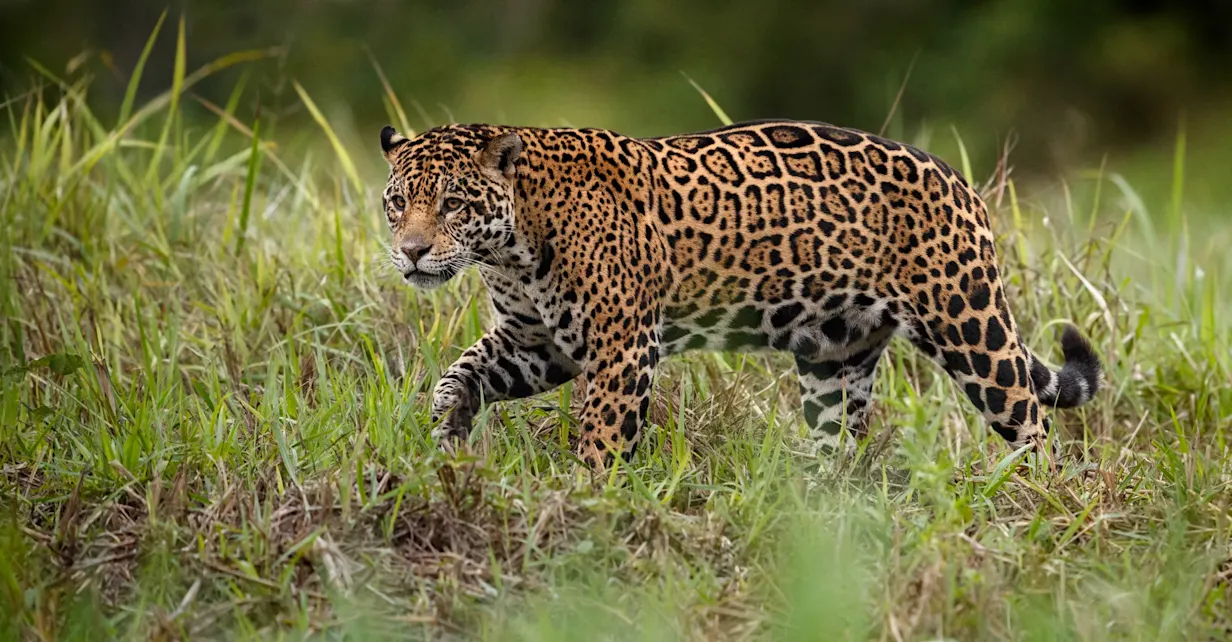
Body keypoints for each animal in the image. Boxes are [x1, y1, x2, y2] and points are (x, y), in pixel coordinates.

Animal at [377, 119, 1104, 471]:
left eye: (453, 203)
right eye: (396, 203)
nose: (411, 252)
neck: (511, 248)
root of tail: (963, 183)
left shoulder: (620, 348)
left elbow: (603, 438)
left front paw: (586, 503)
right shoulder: (535, 343)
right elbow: (459, 373)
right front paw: (446, 435)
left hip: (971, 329)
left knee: (1034, 428)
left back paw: (1041, 507)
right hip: (835, 356)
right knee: (838, 442)